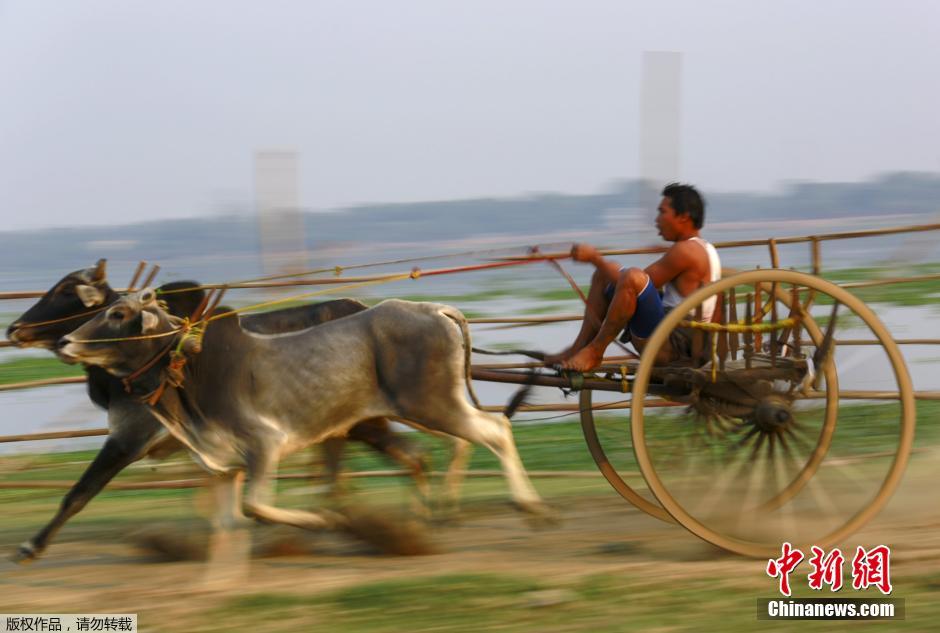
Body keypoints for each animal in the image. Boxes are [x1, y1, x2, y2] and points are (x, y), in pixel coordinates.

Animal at [6, 261, 459, 563]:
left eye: (67, 290)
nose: (14, 329)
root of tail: (360, 304)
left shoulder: (129, 438)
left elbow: (80, 492)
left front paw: (31, 546)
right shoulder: (195, 441)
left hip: (367, 422)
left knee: (411, 456)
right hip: (354, 425)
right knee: (397, 460)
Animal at [56, 289, 548, 547]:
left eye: (117, 313)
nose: (64, 340)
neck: (189, 368)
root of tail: (435, 307)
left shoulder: (264, 445)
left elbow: (255, 507)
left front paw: (323, 521)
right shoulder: (224, 464)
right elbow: (232, 519)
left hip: (431, 404)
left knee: (495, 431)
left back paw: (530, 507)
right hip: (423, 408)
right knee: (457, 442)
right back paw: (439, 513)